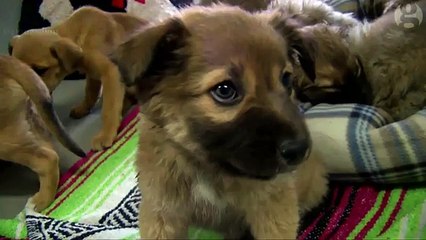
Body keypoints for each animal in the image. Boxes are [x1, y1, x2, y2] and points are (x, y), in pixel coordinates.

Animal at [9, 6, 148, 150]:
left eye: (40, 70)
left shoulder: (111, 71)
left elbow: (109, 108)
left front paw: (105, 134)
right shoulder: (93, 75)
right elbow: (90, 94)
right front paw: (83, 109)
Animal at [111, 4, 328, 239]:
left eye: (286, 79)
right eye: (225, 90)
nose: (299, 150)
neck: (208, 168)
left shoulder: (272, 203)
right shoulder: (161, 212)